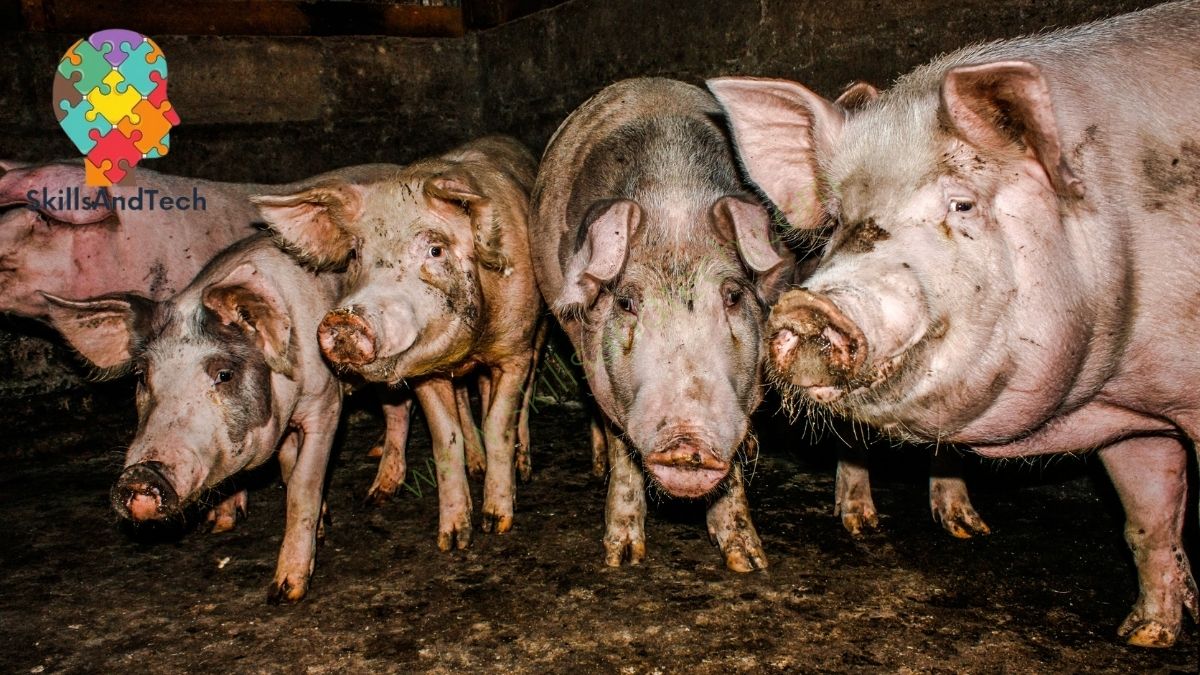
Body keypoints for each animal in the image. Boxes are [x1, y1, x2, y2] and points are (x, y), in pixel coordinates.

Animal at [44, 234, 345, 602]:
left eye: (224, 375)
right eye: (142, 375)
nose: (140, 475)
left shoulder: (326, 401)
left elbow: (303, 484)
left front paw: (285, 592)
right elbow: (285, 469)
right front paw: (220, 525)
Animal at [253, 136, 542, 552]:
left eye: (435, 250)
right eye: (356, 253)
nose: (345, 320)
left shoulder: (515, 350)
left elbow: (499, 422)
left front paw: (496, 523)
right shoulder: (426, 374)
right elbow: (446, 439)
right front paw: (452, 540)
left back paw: (523, 467)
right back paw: (471, 466)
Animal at [529, 78, 794, 571]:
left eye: (733, 296)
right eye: (628, 302)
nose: (687, 439)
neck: (674, 198)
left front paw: (750, 562)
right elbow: (623, 449)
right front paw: (622, 558)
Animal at [709, 0, 1200, 646]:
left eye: (961, 204)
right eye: (837, 220)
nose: (807, 308)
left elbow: (1154, 516)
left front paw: (1142, 639)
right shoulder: (1131, 413)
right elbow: (1145, 520)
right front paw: (1142, 637)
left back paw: (967, 530)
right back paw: (868, 525)